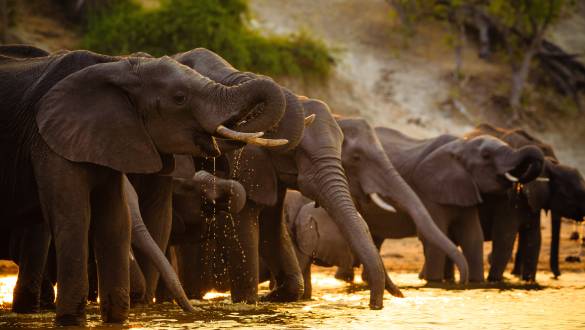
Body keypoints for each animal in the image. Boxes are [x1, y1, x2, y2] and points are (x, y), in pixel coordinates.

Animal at [0, 46, 288, 324]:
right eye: (180, 98)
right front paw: (71, 321)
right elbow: (73, 219)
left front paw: (118, 319)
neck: (114, 63)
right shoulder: (47, 142)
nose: (192, 310)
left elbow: (117, 220)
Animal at [336, 127, 544, 282]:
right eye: (486, 155)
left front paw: (475, 284)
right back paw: (345, 279)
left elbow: (472, 237)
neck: (460, 145)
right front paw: (434, 283)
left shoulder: (465, 189)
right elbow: (437, 237)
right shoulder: (429, 191)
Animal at [460, 124, 584, 282]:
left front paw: (526, 280)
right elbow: (506, 238)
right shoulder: (507, 201)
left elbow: (534, 238)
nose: (558, 275)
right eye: (566, 195)